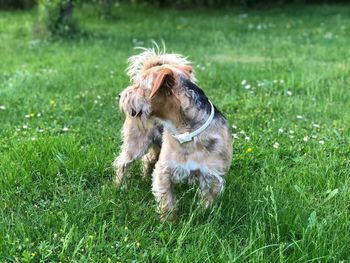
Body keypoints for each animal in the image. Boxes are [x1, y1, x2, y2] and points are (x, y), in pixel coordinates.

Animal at [113, 47, 232, 221]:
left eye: (138, 86)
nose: (120, 96)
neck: (187, 133)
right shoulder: (165, 170)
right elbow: (166, 199)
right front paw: (168, 221)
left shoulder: (213, 175)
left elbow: (207, 201)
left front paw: (201, 217)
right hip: (136, 142)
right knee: (122, 162)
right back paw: (120, 186)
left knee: (147, 159)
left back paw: (143, 177)